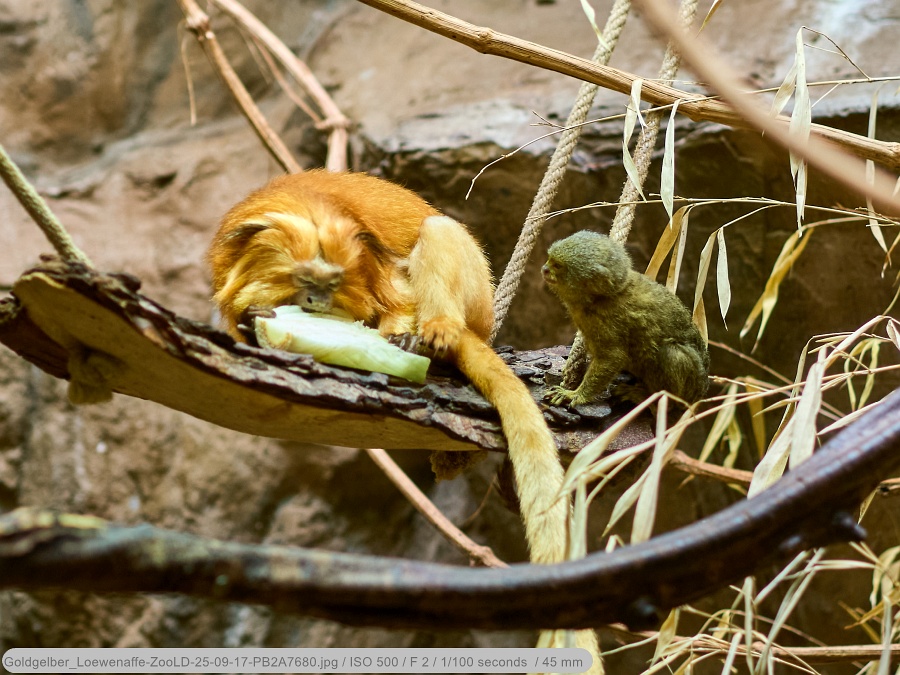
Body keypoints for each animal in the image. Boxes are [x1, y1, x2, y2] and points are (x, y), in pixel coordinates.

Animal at [542, 230, 709, 407]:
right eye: (549, 259)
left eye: (557, 266)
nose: (545, 269)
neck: (601, 297)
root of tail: (701, 393)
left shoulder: (606, 322)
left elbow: (613, 357)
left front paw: (576, 394)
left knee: (672, 355)